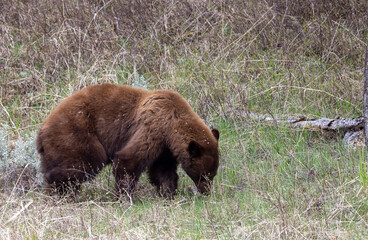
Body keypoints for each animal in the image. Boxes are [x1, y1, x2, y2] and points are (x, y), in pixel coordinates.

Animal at [36, 83, 220, 200]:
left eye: (212, 174)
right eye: (204, 175)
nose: (206, 192)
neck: (173, 123)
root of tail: (41, 130)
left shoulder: (165, 147)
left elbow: (163, 171)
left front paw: (168, 193)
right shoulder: (152, 127)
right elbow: (129, 159)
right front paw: (125, 196)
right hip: (75, 134)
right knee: (81, 163)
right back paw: (58, 190)